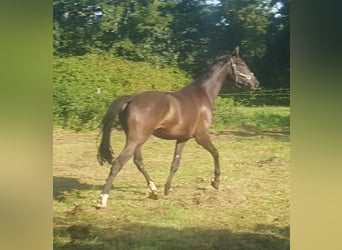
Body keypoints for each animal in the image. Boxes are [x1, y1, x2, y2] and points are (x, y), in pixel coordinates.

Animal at [96, 46, 260, 207]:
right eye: (242, 64)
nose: (256, 83)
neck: (204, 95)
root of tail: (131, 98)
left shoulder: (182, 139)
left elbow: (175, 163)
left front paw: (167, 189)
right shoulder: (201, 136)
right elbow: (216, 153)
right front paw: (215, 182)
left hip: (138, 139)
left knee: (138, 162)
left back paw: (154, 191)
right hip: (136, 139)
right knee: (118, 163)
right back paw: (103, 200)